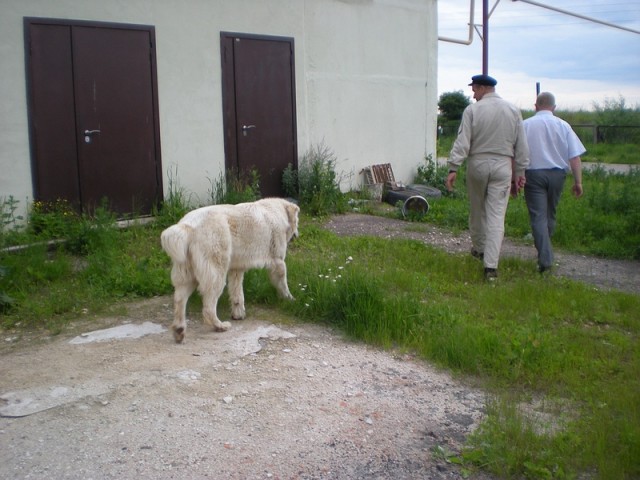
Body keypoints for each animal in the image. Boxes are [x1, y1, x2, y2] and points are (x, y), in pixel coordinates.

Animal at [160, 197, 300, 344]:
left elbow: (237, 292)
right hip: (216, 270)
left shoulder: (236, 269)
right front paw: (289, 299)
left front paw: (238, 314)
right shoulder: (278, 261)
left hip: (186, 272)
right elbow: (282, 282)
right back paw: (220, 325)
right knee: (209, 306)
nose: (297, 235)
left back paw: (179, 330)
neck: (278, 210)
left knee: (180, 299)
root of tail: (186, 226)